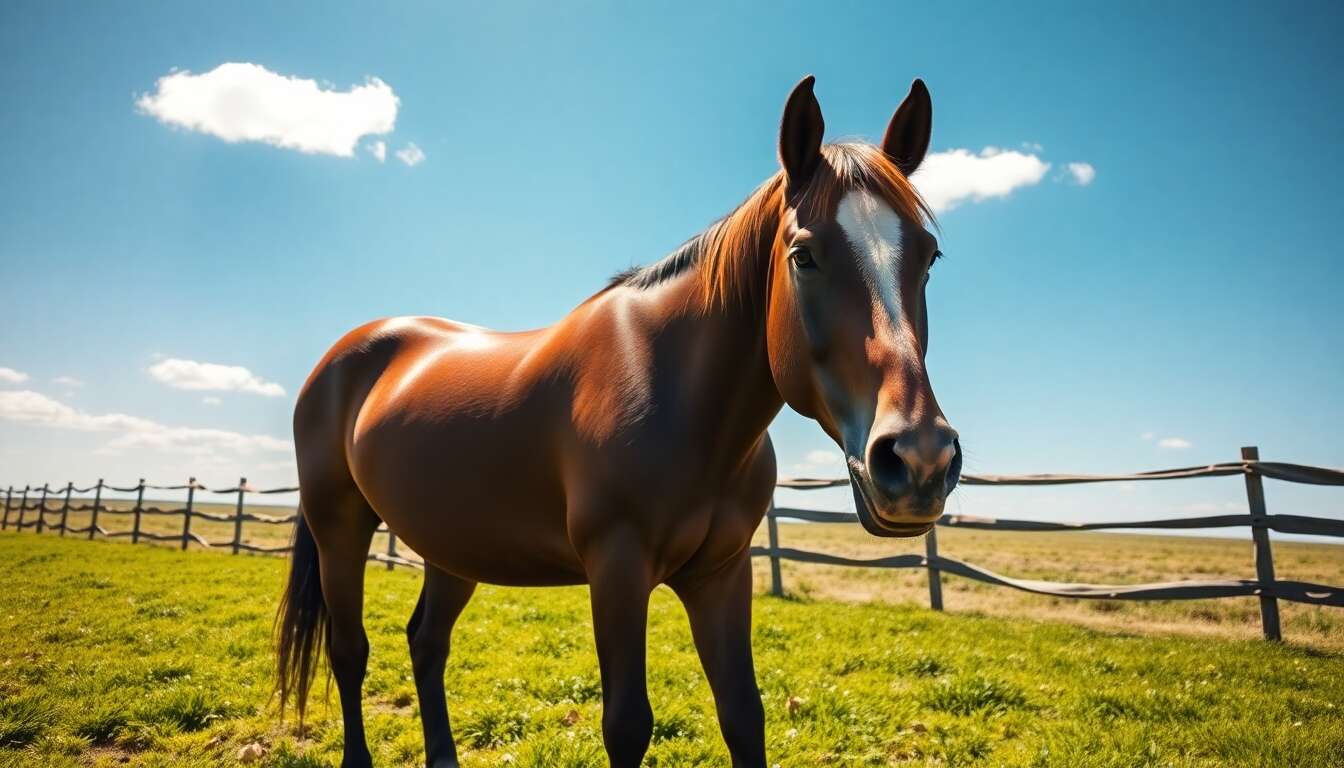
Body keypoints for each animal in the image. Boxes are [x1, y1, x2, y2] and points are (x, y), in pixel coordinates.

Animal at [276, 75, 961, 768]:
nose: (919, 459)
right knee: (350, 651)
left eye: (930, 257)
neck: (679, 397)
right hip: (340, 526)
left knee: (426, 641)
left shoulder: (722, 573)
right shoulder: (617, 570)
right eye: (803, 256)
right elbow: (627, 724)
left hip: (453, 547)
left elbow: (744, 714)